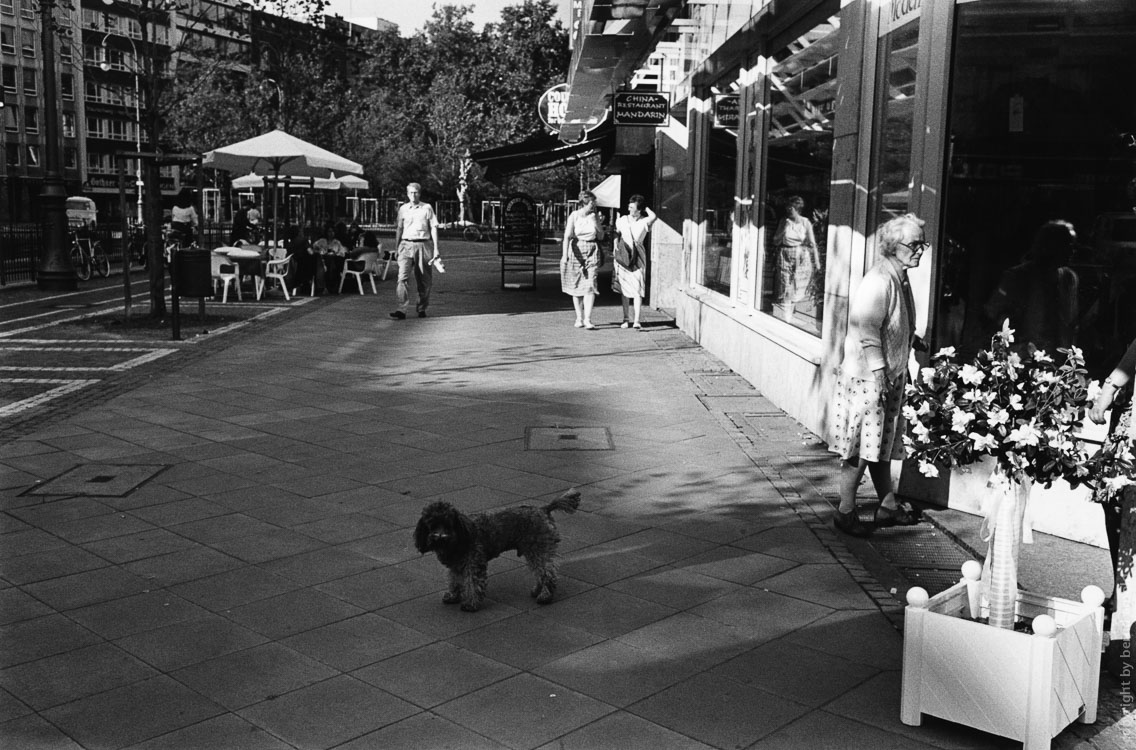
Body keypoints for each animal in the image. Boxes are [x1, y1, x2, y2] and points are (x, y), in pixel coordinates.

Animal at [415, 488, 581, 613]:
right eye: (432, 525)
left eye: (447, 524)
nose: (439, 537)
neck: (460, 536)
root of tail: (543, 509)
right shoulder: (456, 566)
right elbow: (455, 580)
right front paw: (453, 596)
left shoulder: (473, 564)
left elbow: (472, 583)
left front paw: (471, 603)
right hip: (534, 551)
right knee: (541, 571)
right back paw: (537, 591)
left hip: (539, 549)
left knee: (547, 573)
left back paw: (545, 595)